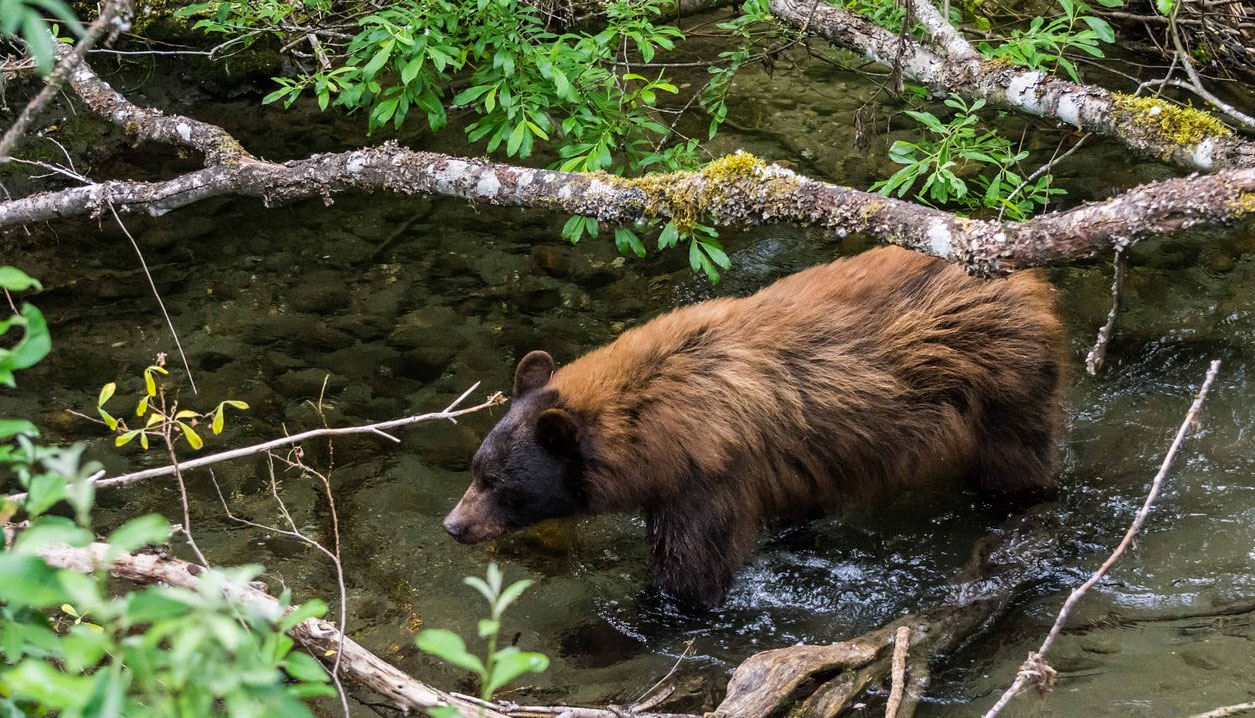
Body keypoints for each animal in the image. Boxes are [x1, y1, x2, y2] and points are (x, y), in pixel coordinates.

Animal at [441, 247, 1059, 605]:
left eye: (498, 482)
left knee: (1016, 461)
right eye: (476, 468)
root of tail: (1029, 279)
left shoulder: (708, 479)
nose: (453, 525)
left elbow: (693, 568)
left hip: (1002, 384)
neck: (654, 421)